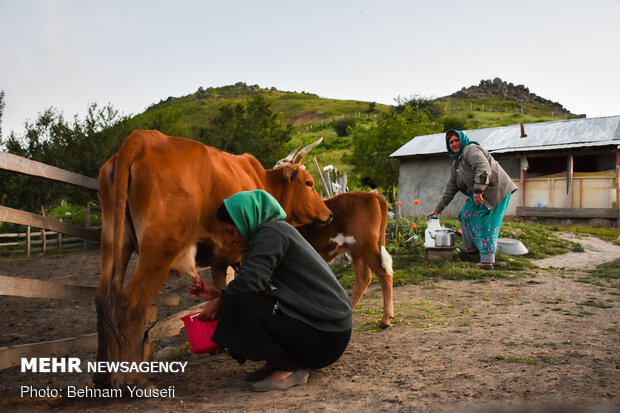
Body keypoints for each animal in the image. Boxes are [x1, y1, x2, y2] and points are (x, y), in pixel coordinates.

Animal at [95, 130, 330, 386]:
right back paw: (136, 380)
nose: (329, 214)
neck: (262, 182)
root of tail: (141, 139)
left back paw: (103, 378)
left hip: (114, 243)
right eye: (309, 183)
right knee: (133, 303)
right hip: (159, 249)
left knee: (104, 299)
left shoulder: (220, 259)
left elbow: (220, 290)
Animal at [298, 190, 394, 328]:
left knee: (383, 273)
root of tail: (372, 194)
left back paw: (386, 319)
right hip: (357, 250)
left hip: (366, 245)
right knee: (364, 277)